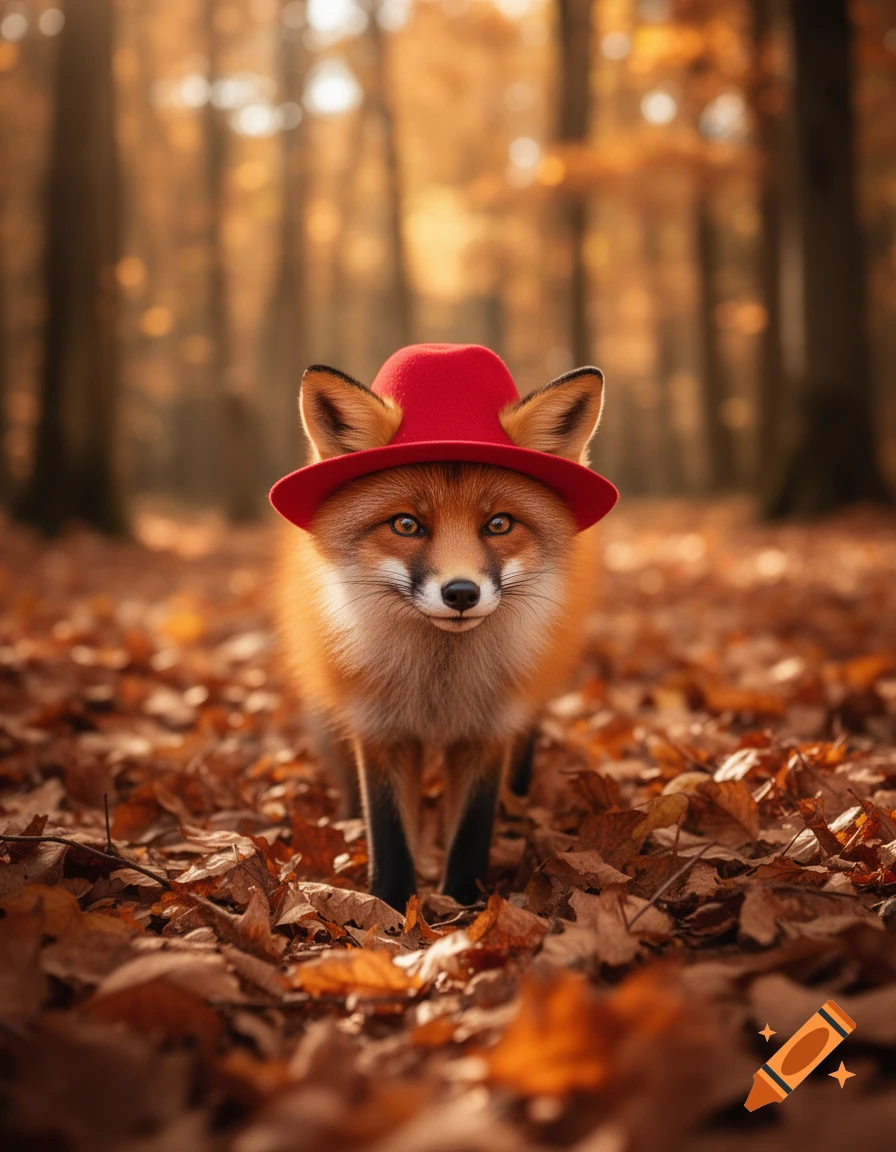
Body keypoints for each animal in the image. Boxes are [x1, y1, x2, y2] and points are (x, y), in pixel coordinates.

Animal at [274, 358, 606, 911]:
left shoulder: (488, 724)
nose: (461, 593)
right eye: (407, 525)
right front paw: (390, 903)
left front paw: (465, 904)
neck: (438, 687)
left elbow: (472, 826)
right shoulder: (378, 723)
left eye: (499, 524)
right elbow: (387, 828)